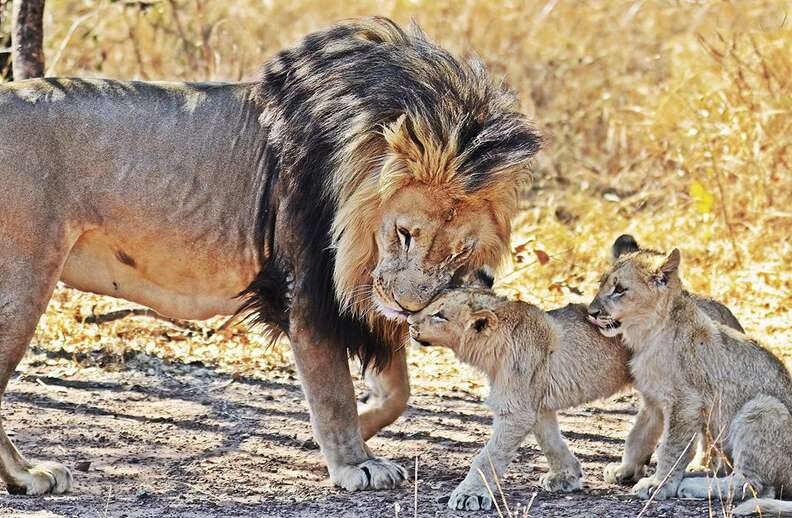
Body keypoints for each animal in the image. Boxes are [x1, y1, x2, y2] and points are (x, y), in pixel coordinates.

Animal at [0, 17, 540, 496]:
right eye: (405, 233)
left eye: (459, 250)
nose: (409, 307)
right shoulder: (308, 294)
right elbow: (334, 393)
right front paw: (355, 465)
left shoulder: (362, 304)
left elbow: (396, 392)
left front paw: (328, 435)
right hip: (24, 284)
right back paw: (29, 476)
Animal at [588, 249, 792, 516]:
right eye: (601, 283)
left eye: (620, 289)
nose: (591, 312)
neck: (647, 335)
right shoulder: (653, 401)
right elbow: (638, 437)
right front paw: (625, 470)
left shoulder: (685, 403)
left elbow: (670, 448)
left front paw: (658, 484)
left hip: (764, 408)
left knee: (753, 486)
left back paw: (692, 485)